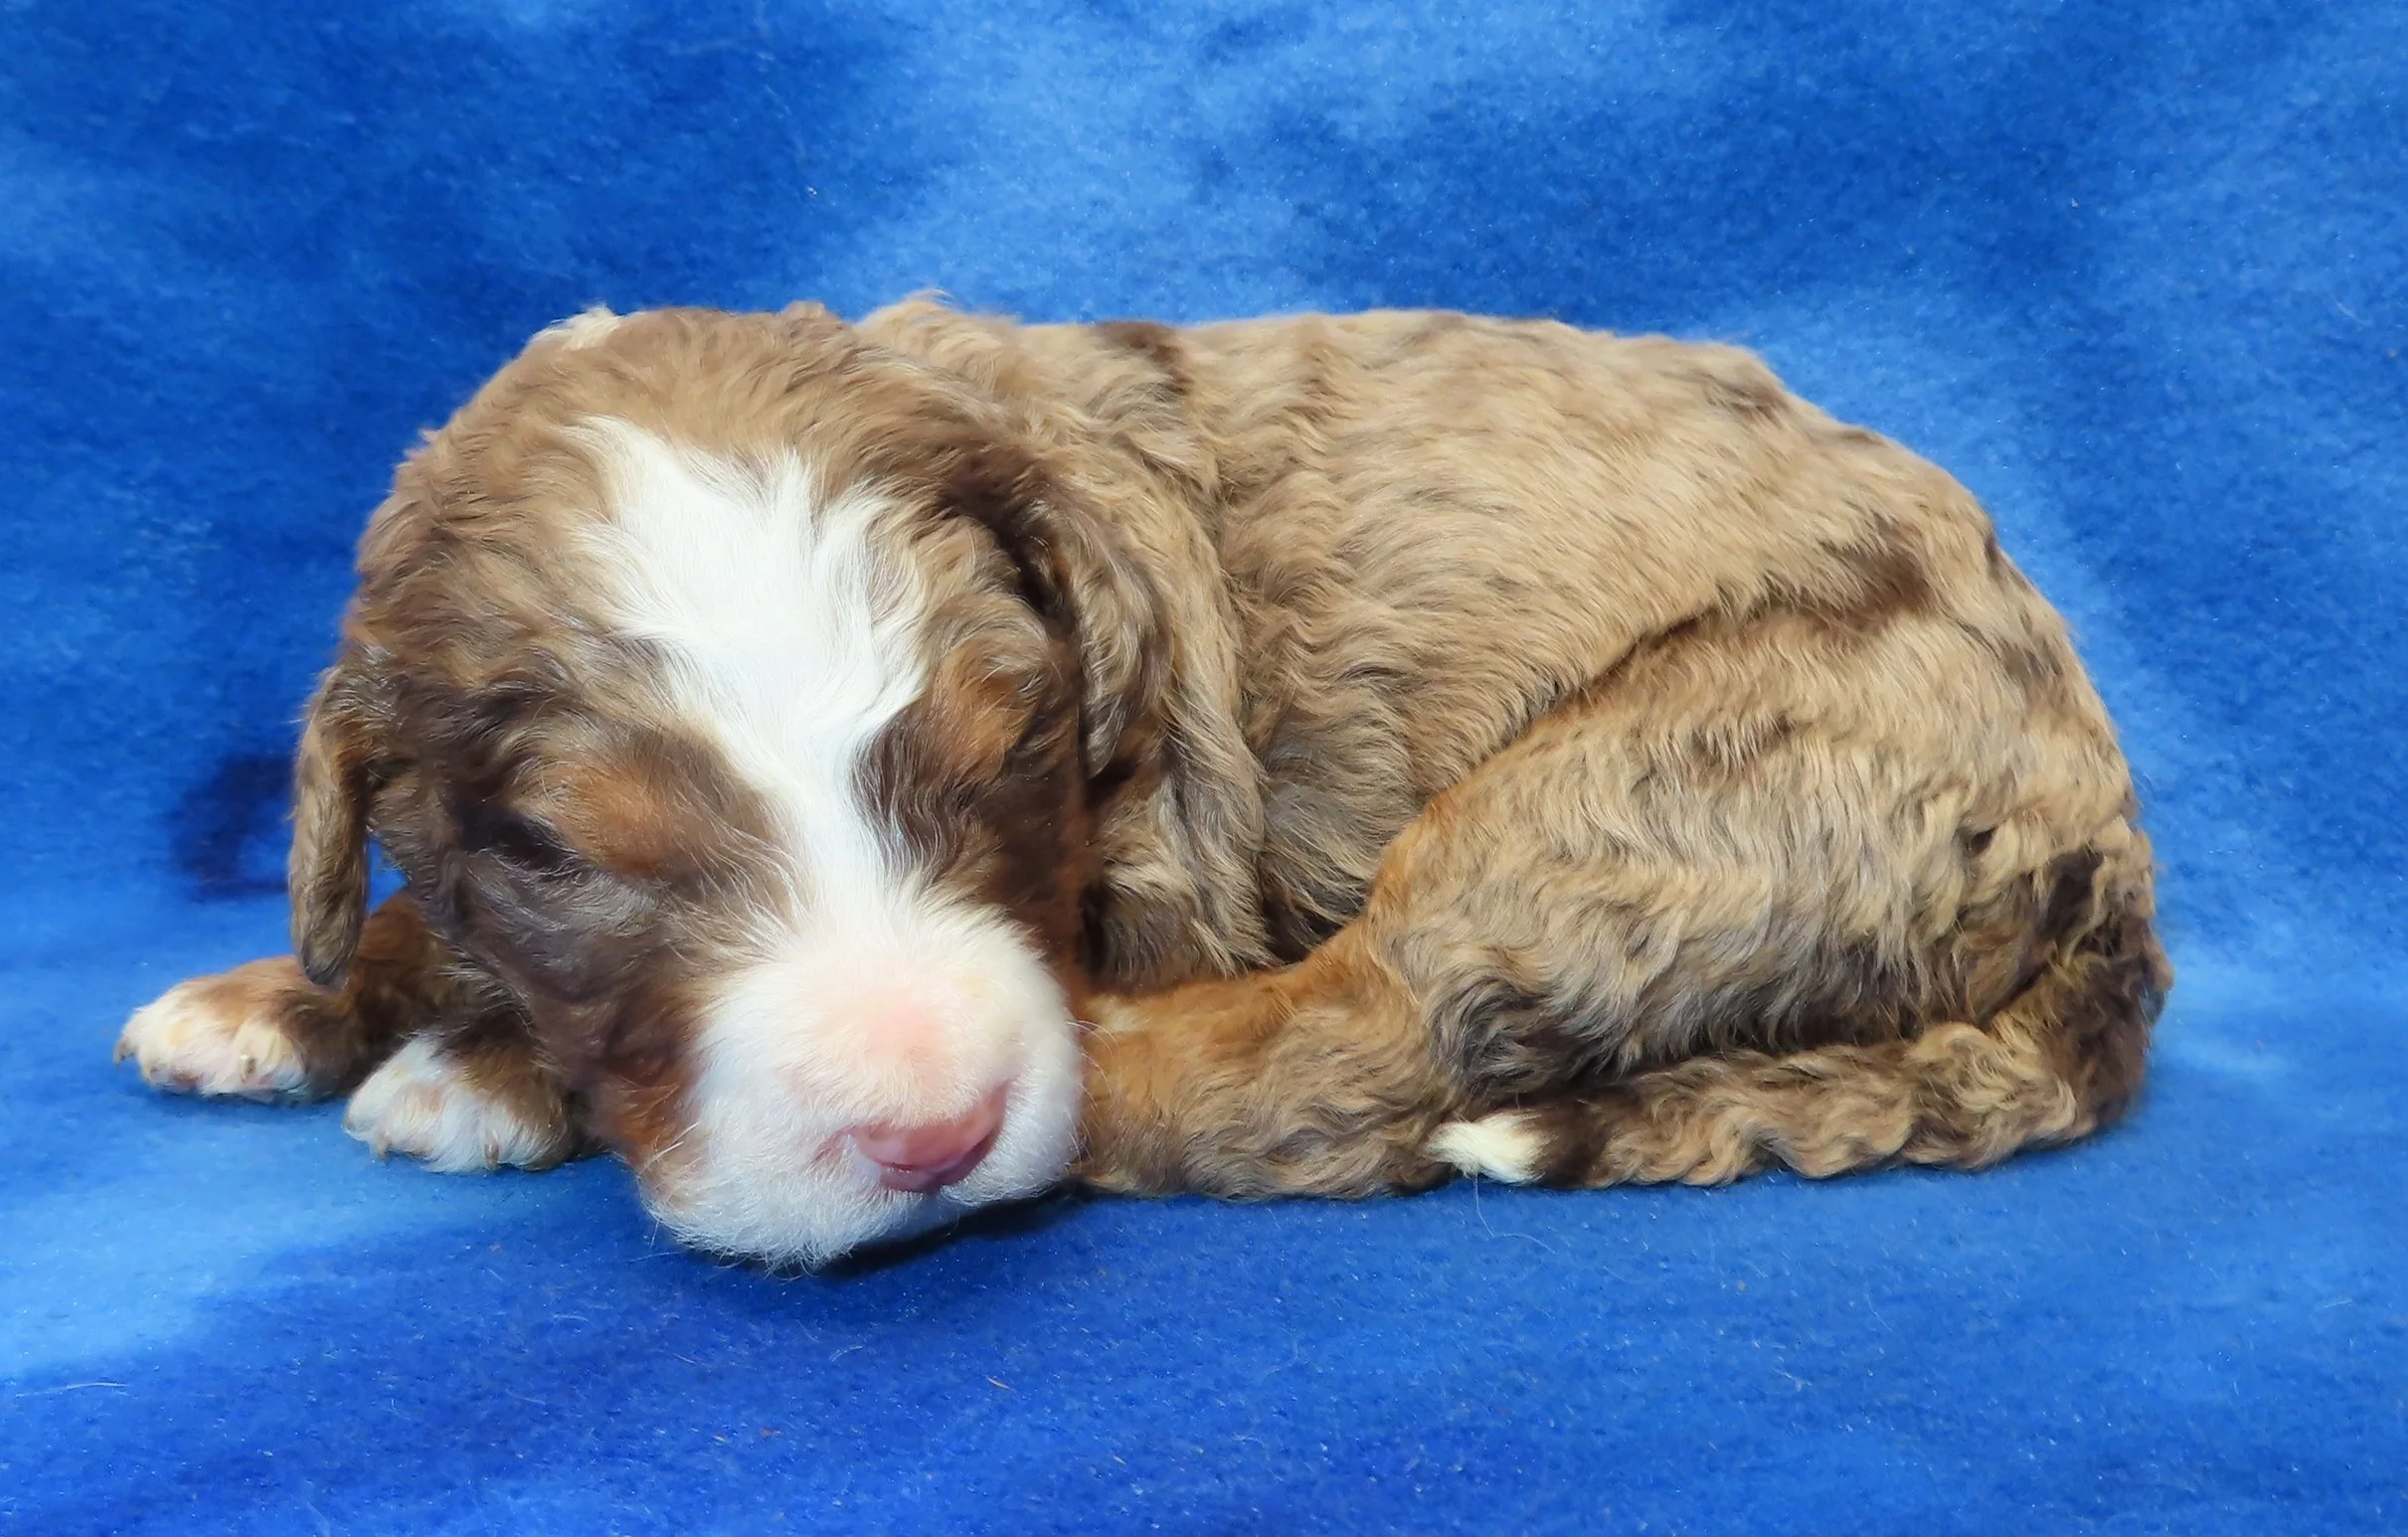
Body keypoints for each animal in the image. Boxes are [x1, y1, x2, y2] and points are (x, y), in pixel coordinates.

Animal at [116, 299, 2170, 1266]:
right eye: (557, 853)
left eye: (1010, 751)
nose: (932, 1128)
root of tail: (2115, 849)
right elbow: (405, 899)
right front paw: (293, 994)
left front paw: (476, 1069)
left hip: (1664, 781)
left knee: (1342, 1062)